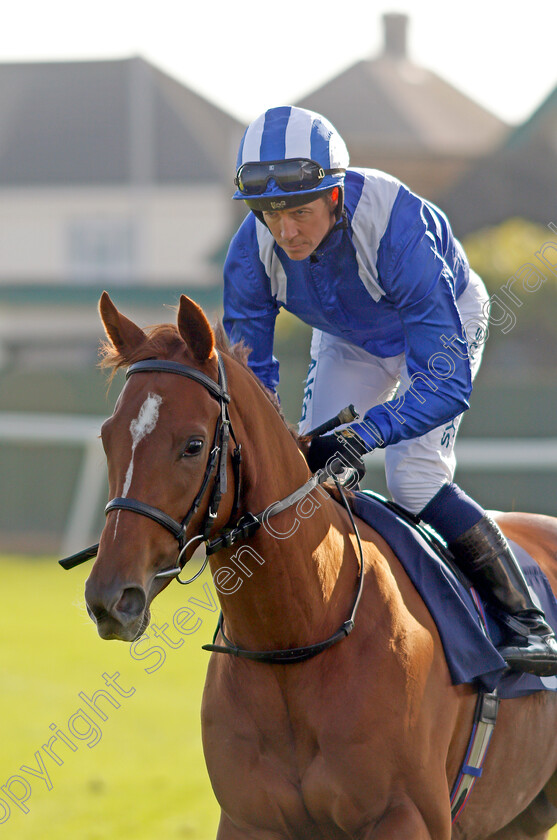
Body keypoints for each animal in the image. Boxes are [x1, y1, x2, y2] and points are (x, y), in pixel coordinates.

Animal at [80, 294, 552, 840]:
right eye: (107, 437)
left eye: (193, 444)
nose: (110, 597)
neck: (297, 639)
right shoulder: (248, 819)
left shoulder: (407, 815)